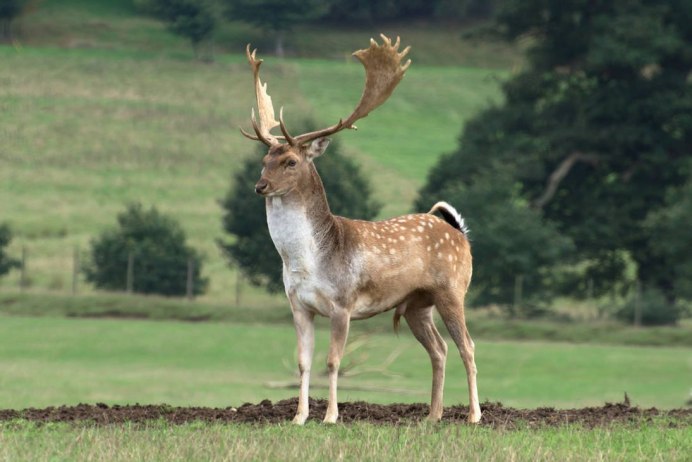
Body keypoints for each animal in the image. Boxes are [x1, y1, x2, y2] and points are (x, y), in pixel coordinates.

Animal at [240, 35, 481, 425]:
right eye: (264, 160)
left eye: (290, 161)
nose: (260, 186)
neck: (306, 262)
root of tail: (458, 232)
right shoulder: (298, 305)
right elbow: (303, 362)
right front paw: (298, 417)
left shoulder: (343, 302)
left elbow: (332, 361)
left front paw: (331, 416)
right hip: (417, 304)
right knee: (439, 349)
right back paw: (432, 416)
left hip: (452, 289)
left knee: (467, 346)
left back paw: (474, 416)